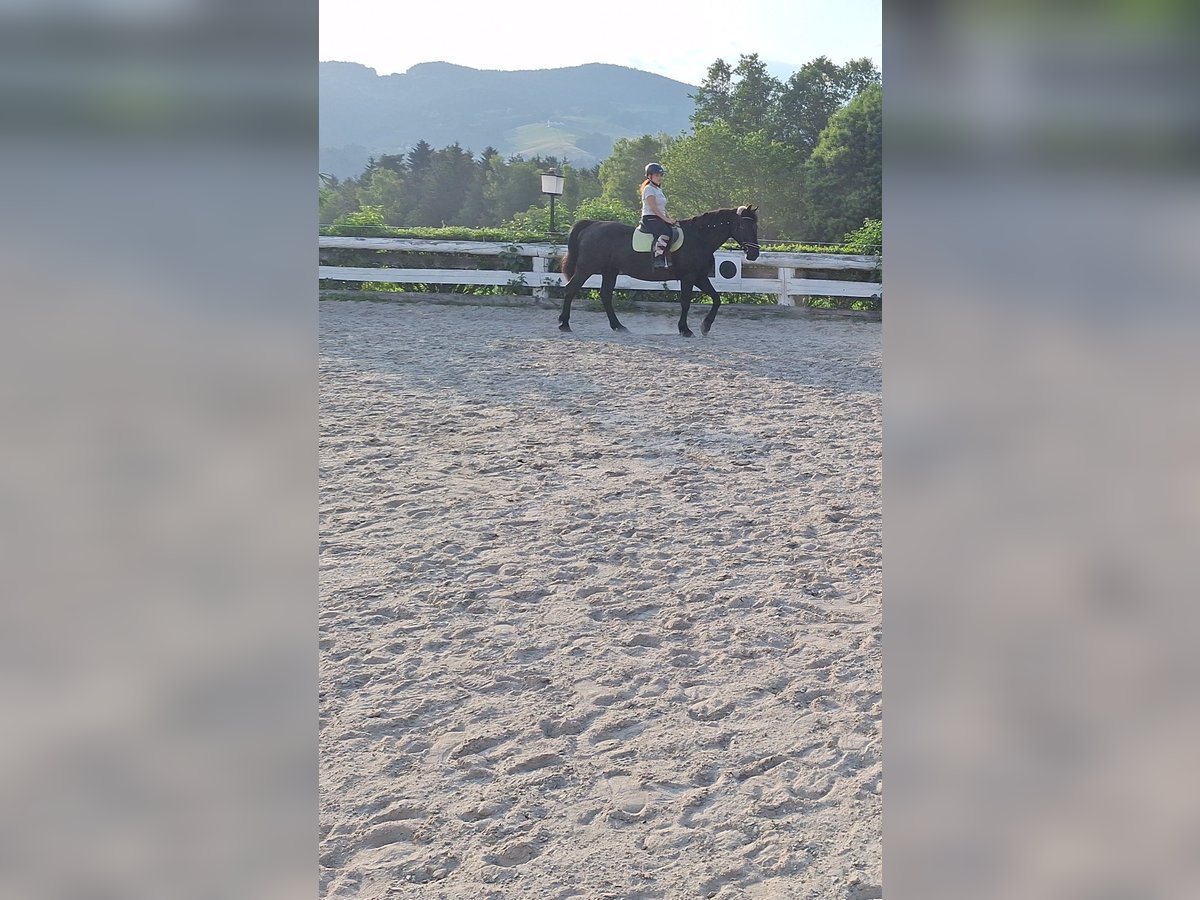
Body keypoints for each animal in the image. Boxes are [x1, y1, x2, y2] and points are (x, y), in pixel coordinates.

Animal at [557, 205, 760, 337]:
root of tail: (592, 225)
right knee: (571, 289)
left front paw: (705, 326)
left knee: (605, 295)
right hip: (586, 268)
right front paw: (685, 329)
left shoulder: (700, 277)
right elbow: (685, 302)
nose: (754, 254)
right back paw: (564, 324)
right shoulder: (689, 277)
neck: (699, 238)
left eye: (755, 226)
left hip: (610, 271)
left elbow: (717, 299)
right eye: (744, 226)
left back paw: (618, 326)